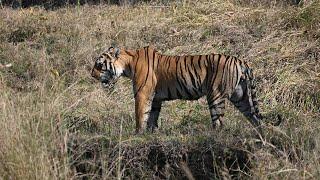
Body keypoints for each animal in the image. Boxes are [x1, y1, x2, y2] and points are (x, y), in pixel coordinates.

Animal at [91, 45, 264, 137]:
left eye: (99, 65)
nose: (92, 75)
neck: (128, 64)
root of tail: (240, 60)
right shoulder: (156, 99)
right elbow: (152, 117)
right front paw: (151, 134)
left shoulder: (142, 94)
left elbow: (140, 115)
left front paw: (138, 134)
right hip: (240, 97)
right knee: (255, 118)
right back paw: (260, 137)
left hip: (216, 95)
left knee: (219, 123)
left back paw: (212, 136)